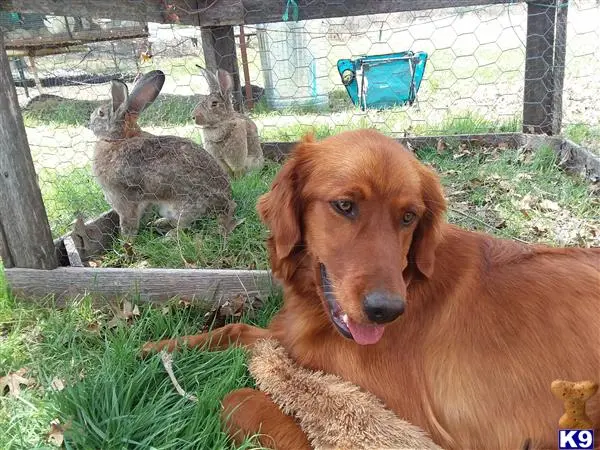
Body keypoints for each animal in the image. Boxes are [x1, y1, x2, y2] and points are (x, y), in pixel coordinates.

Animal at [88, 69, 237, 239]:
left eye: (100, 113)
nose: (89, 122)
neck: (118, 139)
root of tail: (225, 203)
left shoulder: (124, 199)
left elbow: (128, 223)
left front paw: (125, 240)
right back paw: (159, 223)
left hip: (184, 205)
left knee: (184, 225)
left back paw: (169, 236)